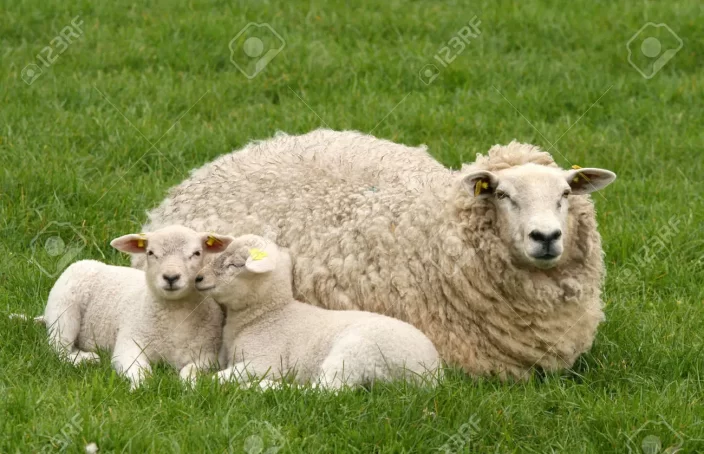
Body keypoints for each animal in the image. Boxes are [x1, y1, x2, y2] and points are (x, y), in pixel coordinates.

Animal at [43, 225, 233, 388]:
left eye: (197, 253)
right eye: (150, 253)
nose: (171, 277)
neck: (175, 318)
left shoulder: (209, 354)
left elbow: (190, 370)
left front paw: (190, 386)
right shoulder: (128, 346)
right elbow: (141, 371)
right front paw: (141, 387)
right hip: (63, 310)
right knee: (58, 350)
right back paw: (87, 359)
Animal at [195, 234, 441, 389]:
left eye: (235, 265)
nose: (198, 278)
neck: (269, 314)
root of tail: (431, 373)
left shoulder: (265, 362)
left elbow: (217, 378)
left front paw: (203, 385)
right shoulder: (224, 356)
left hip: (356, 353)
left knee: (325, 391)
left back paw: (263, 387)